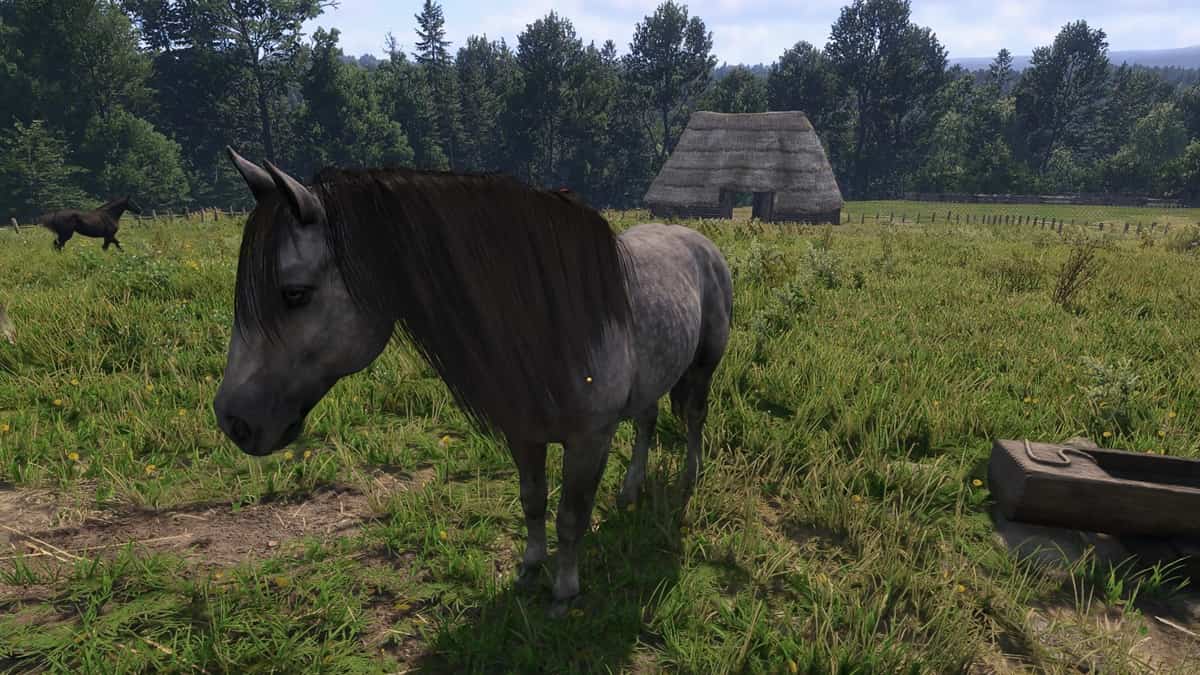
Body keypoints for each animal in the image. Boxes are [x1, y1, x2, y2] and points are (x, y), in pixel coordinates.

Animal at [212, 147, 733, 616]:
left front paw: (564, 593)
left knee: (693, 416)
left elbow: (570, 517)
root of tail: (696, 239)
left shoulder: (589, 440)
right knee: (647, 419)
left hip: (702, 368)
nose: (232, 420)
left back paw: (689, 477)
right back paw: (629, 491)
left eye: (294, 294)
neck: (554, 323)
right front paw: (529, 570)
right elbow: (532, 501)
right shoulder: (524, 433)